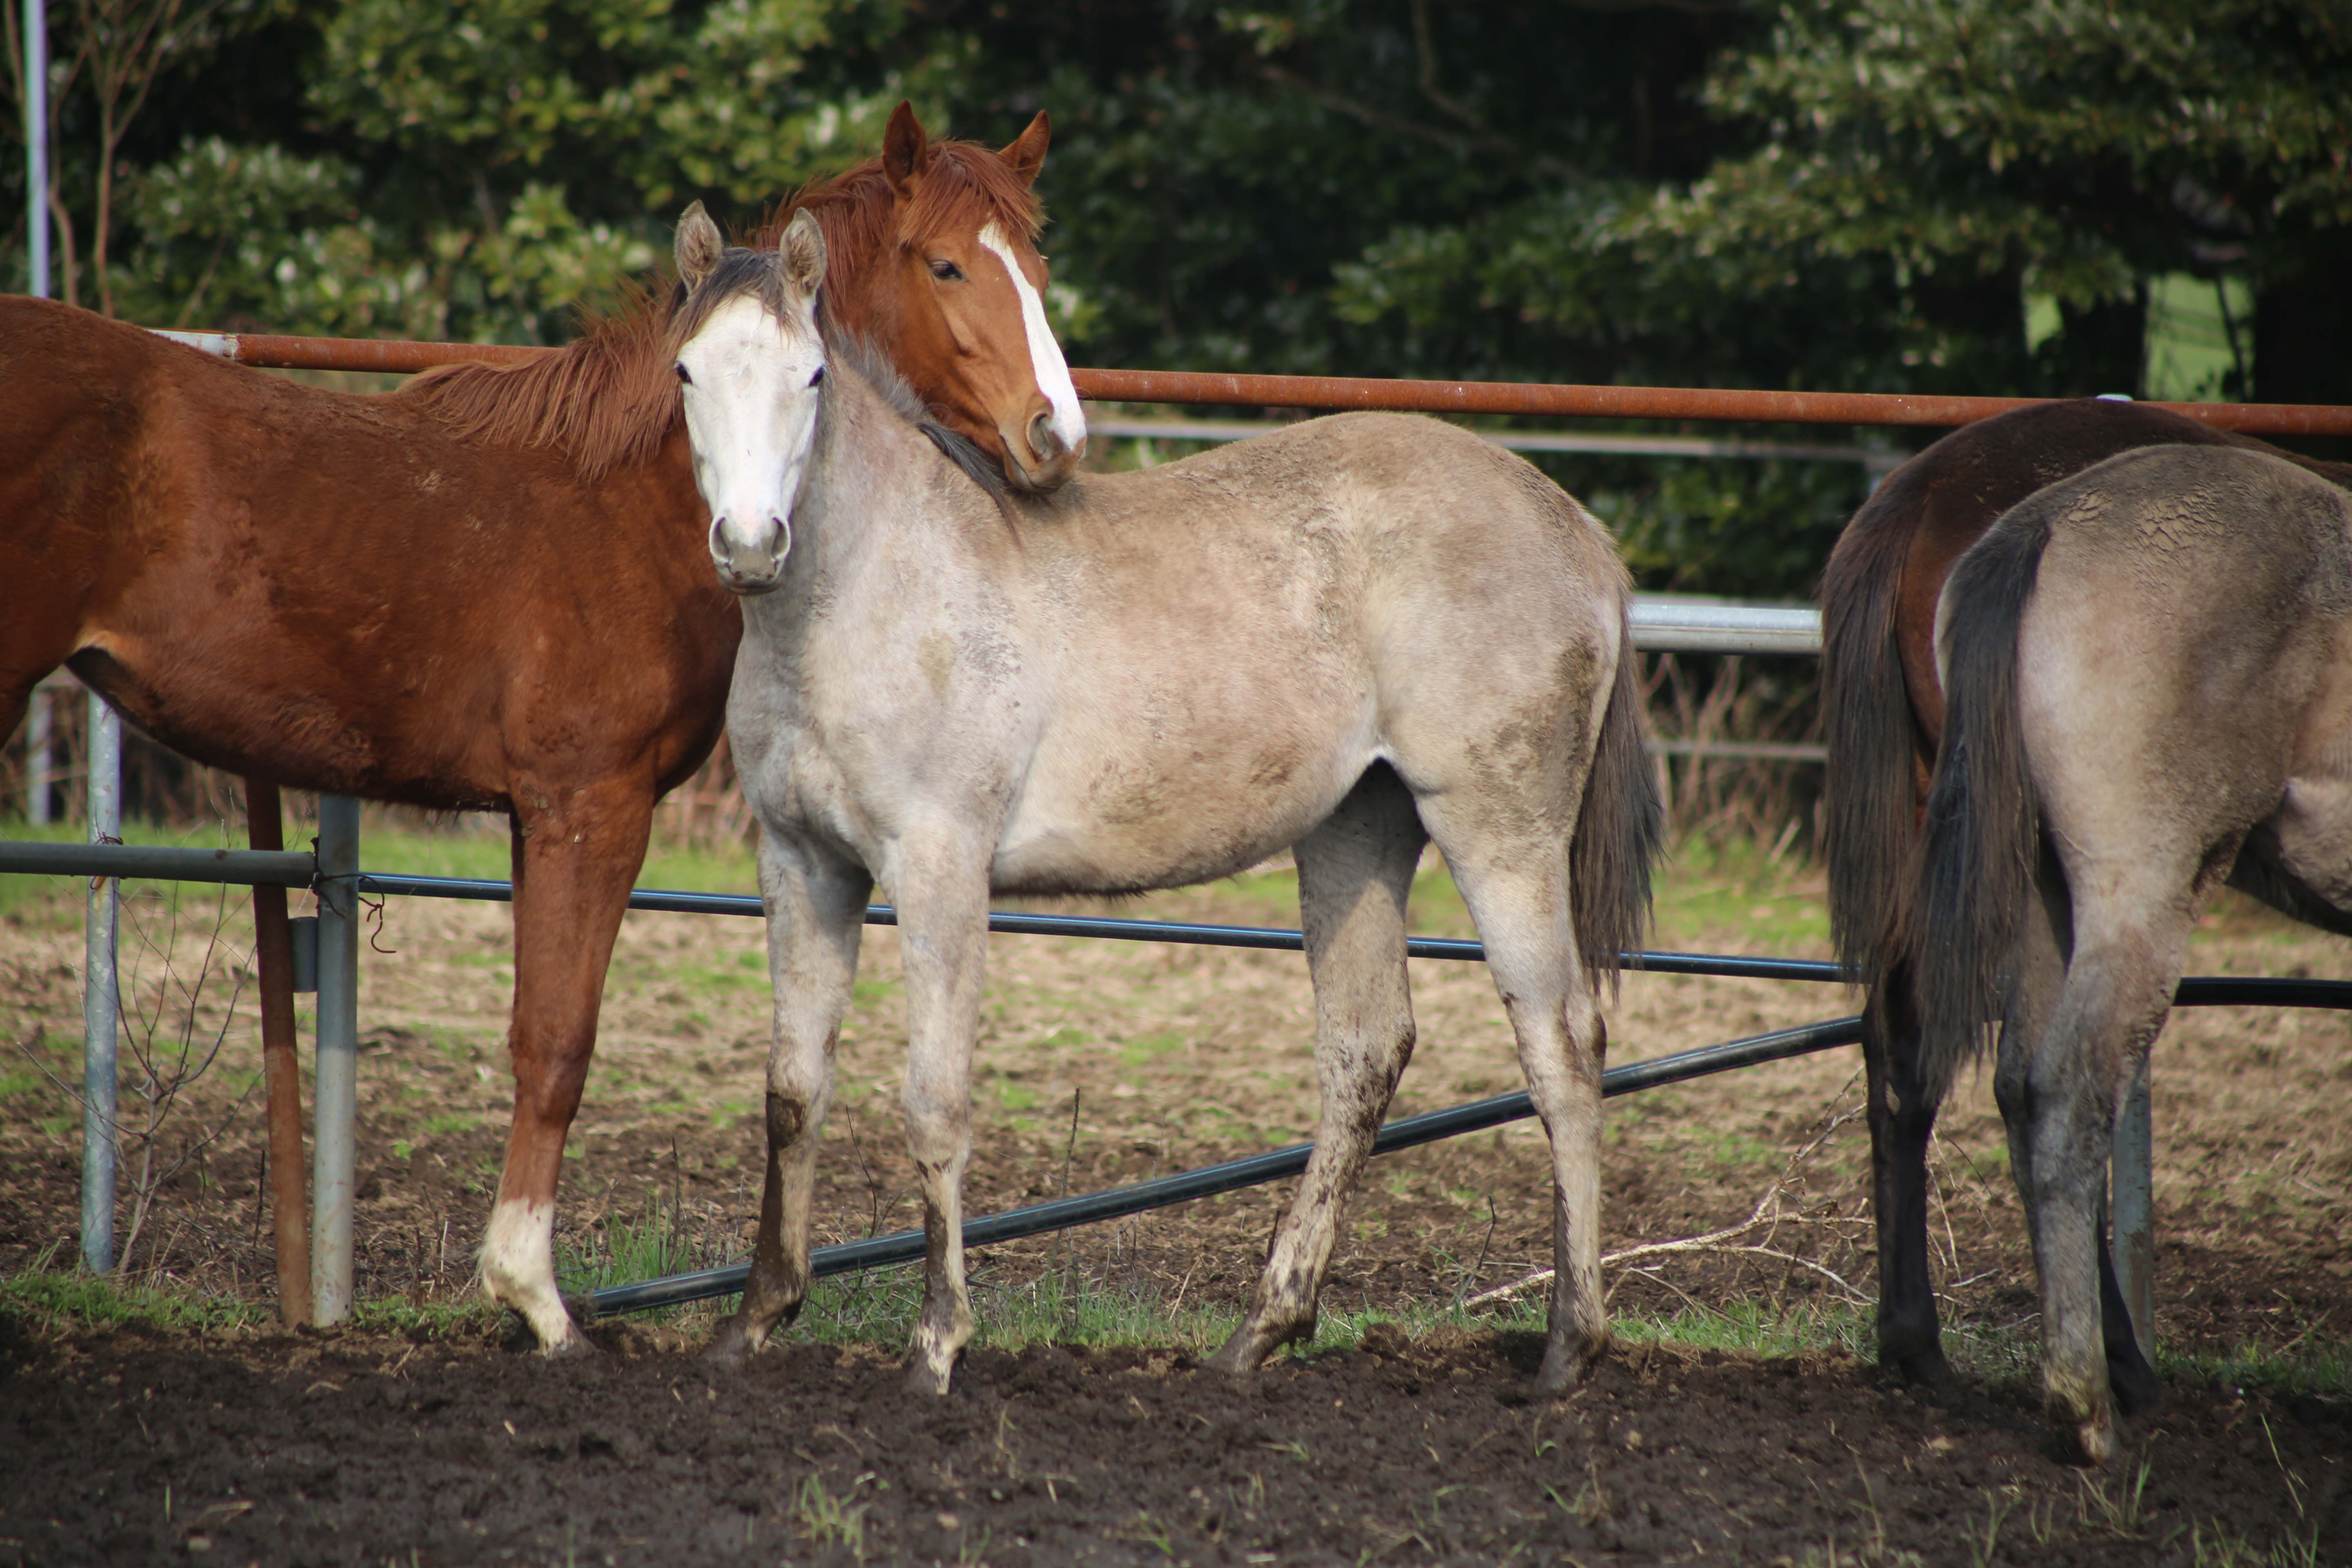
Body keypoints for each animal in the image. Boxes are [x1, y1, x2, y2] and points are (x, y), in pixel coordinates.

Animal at [0, 101, 1082, 1354]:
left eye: (1037, 264)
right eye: (947, 264)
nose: (1055, 434)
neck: (632, 503)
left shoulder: (537, 816)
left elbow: (535, 1032)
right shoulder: (589, 806)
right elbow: (560, 1043)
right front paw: (538, 1301)